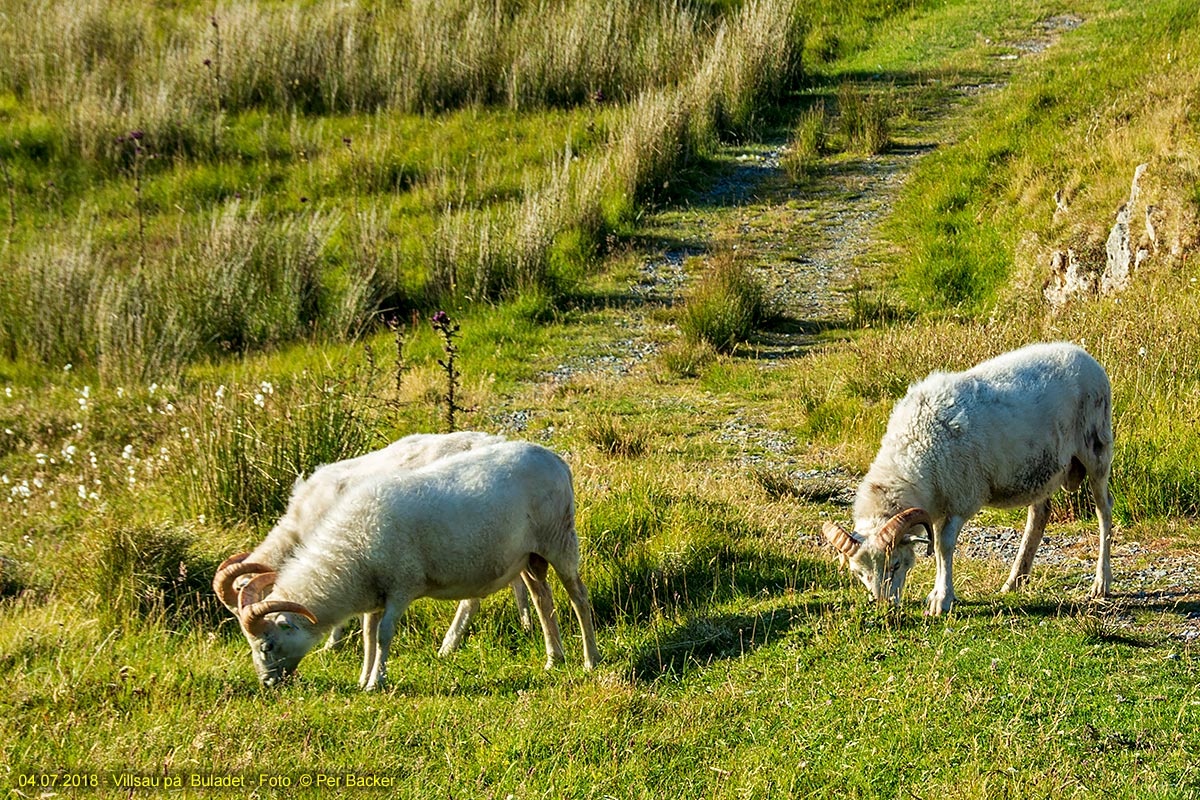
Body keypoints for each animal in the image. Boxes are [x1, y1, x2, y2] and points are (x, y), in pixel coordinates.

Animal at [229, 441, 600, 690]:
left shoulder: (400, 586)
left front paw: (376, 682)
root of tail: (556, 459)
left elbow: (383, 635)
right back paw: (554, 659)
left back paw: (590, 660)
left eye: (267, 645)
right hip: (529, 556)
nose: (267, 685)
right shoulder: (375, 594)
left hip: (560, 539)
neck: (350, 555)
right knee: (543, 600)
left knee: (578, 598)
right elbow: (368, 635)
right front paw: (364, 676)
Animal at [825, 340, 1113, 618]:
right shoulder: (937, 505)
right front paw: (937, 594)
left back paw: (1101, 583)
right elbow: (938, 550)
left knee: (1104, 510)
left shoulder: (960, 498)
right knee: (1039, 514)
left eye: (896, 564)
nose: (885, 606)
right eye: (859, 573)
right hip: (1042, 468)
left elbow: (943, 546)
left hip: (1097, 449)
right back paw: (1015, 580)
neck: (915, 446)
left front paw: (942, 600)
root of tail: (1082, 353)